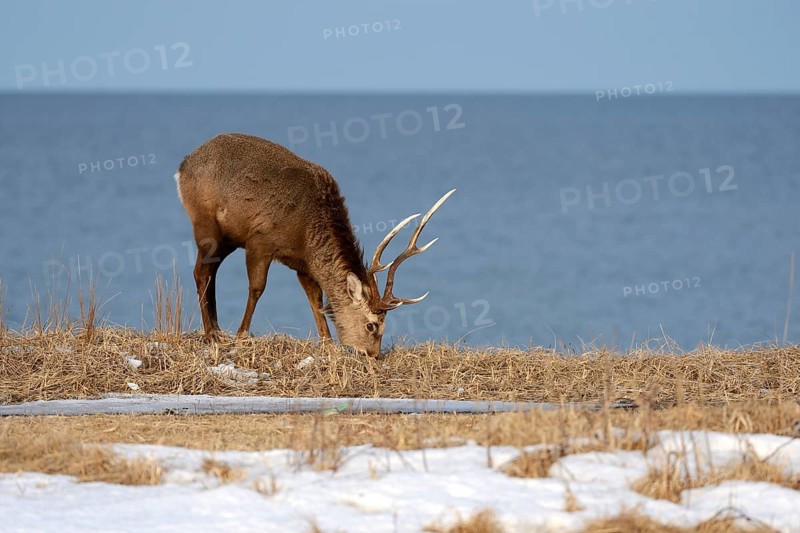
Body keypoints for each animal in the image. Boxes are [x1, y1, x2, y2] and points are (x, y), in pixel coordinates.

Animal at [175, 133, 454, 358]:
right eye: (372, 325)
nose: (374, 355)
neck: (306, 235)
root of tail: (182, 166)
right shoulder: (260, 242)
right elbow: (257, 289)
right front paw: (243, 335)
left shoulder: (303, 264)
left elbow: (315, 298)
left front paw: (328, 342)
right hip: (206, 224)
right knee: (201, 272)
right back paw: (211, 334)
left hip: (228, 238)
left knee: (209, 272)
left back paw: (216, 329)